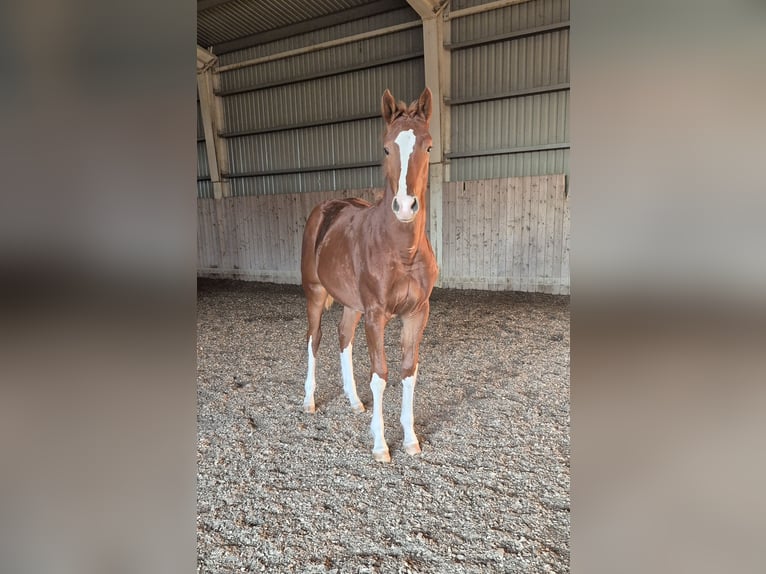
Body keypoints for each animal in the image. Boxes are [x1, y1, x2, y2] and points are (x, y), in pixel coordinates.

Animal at [300, 87, 439, 462]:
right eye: (387, 147)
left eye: (428, 146)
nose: (405, 206)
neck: (402, 252)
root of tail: (325, 208)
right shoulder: (376, 315)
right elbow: (380, 374)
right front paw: (380, 445)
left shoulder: (417, 313)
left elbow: (409, 371)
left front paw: (410, 440)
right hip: (315, 293)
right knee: (315, 339)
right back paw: (309, 401)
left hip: (351, 304)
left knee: (343, 336)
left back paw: (353, 400)